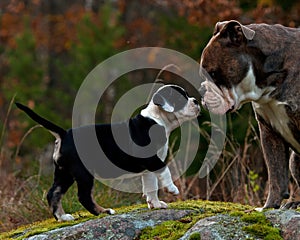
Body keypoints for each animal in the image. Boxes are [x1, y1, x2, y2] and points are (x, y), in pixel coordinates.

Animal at [15, 85, 199, 221]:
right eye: (181, 98)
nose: (196, 101)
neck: (156, 119)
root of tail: (64, 134)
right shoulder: (152, 160)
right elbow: (165, 171)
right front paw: (172, 189)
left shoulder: (149, 167)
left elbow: (151, 186)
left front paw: (156, 204)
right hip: (83, 173)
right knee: (83, 196)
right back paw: (104, 212)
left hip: (64, 173)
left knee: (54, 193)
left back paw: (63, 217)